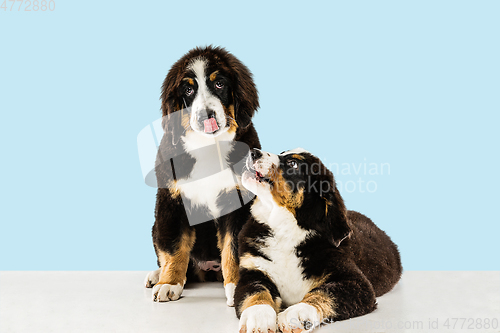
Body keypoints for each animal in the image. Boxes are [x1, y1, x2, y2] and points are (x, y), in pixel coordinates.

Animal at [145, 45, 262, 304]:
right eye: (188, 89)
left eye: (219, 84)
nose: (205, 115)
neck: (208, 146)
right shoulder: (173, 201)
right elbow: (175, 247)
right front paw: (169, 283)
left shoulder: (237, 203)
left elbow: (232, 248)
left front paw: (235, 286)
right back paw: (157, 275)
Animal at [234, 148, 402, 332]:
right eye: (282, 152)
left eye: (293, 164)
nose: (253, 152)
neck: (285, 229)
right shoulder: (253, 270)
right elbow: (255, 291)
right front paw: (258, 316)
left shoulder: (355, 282)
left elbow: (323, 293)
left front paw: (297, 313)